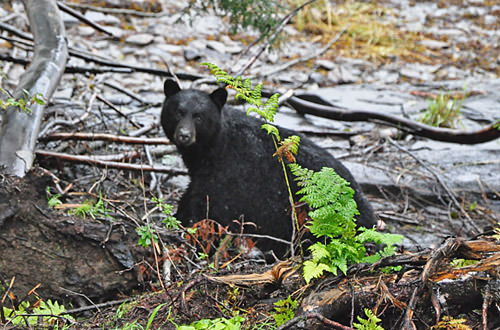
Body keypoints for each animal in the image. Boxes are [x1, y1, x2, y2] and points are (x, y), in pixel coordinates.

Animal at [162, 79, 376, 255]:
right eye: (178, 112)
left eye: (199, 116)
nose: (184, 135)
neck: (212, 149)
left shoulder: (228, 174)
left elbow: (210, 208)